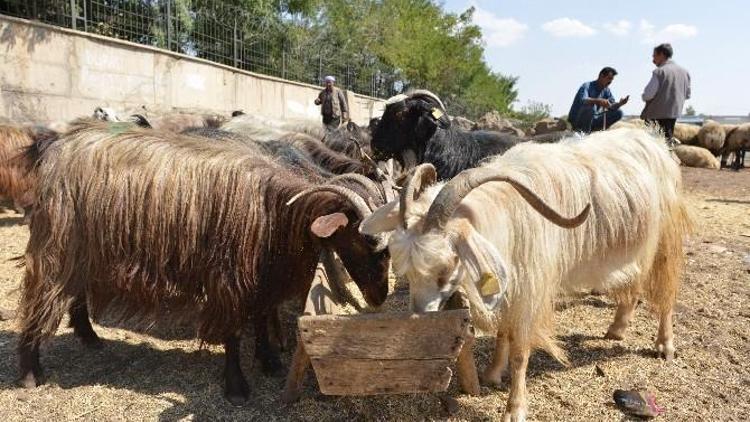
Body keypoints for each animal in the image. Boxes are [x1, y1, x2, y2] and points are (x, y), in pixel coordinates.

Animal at [18, 118, 394, 406]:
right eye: (364, 241)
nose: (379, 298)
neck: (274, 208)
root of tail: (57, 143)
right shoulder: (228, 280)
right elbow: (233, 332)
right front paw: (237, 387)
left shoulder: (262, 276)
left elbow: (261, 317)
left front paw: (269, 360)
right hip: (57, 244)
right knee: (39, 297)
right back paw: (30, 372)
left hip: (87, 249)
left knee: (76, 291)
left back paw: (89, 336)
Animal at [362, 128, 692, 418]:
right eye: (406, 272)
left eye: (446, 267)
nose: (420, 322)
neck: (509, 216)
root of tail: (651, 138)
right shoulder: (511, 283)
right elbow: (503, 333)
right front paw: (493, 373)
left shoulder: (531, 288)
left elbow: (520, 350)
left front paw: (515, 409)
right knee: (634, 282)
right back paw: (617, 328)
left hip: (665, 237)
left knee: (667, 290)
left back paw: (665, 346)